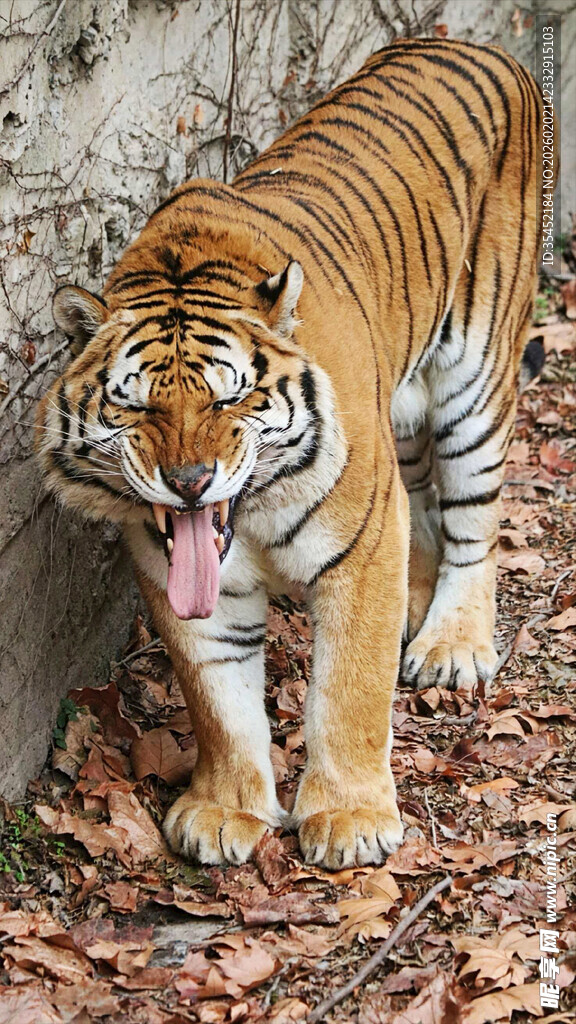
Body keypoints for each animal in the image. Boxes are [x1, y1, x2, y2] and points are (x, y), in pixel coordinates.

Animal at [36, 38, 549, 870]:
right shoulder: (170, 572)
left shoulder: (361, 546)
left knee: (476, 523)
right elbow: (217, 698)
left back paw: (452, 644)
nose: (189, 482)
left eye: (229, 399)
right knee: (422, 501)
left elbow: (349, 689)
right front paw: (226, 810)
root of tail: (473, 43)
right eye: (138, 405)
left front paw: (349, 819)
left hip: (476, 375)